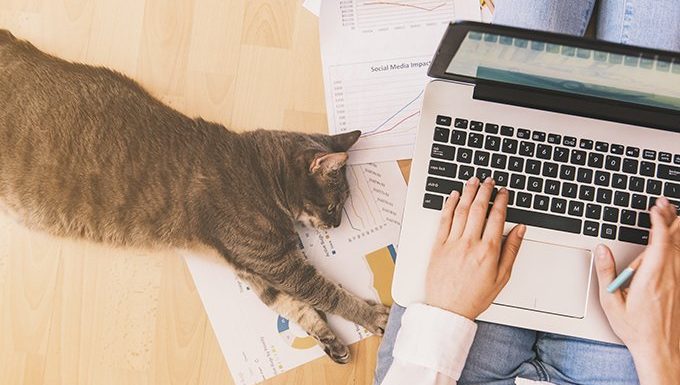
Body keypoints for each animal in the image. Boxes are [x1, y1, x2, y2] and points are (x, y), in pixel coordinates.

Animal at [0, 28, 388, 362]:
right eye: (335, 205)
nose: (336, 225)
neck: (262, 174)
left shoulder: (252, 266)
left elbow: (291, 306)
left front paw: (327, 337)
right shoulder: (279, 263)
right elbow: (329, 293)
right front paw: (372, 316)